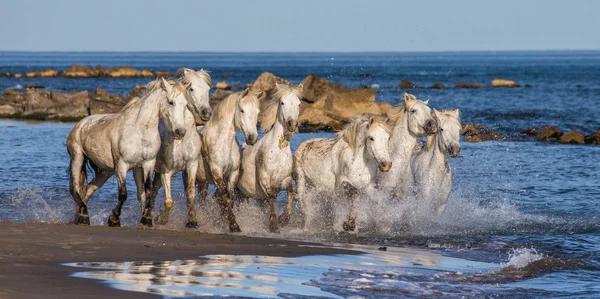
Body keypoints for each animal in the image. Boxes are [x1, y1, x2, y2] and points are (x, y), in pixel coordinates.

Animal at [141, 68, 213, 227]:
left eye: (208, 89)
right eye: (191, 89)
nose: (206, 112)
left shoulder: (191, 165)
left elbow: (191, 193)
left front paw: (192, 220)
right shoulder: (165, 171)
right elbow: (168, 201)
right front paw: (162, 218)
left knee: (153, 191)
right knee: (148, 192)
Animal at [197, 88, 262, 233]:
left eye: (257, 112)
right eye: (242, 110)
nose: (252, 138)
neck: (224, 143)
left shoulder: (233, 173)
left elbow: (230, 196)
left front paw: (226, 222)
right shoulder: (217, 172)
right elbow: (225, 195)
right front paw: (233, 225)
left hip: (203, 181)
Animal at [234, 82, 300, 234]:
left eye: (299, 103)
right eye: (282, 102)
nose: (292, 124)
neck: (278, 151)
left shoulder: (285, 180)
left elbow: (291, 192)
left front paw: (284, 219)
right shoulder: (264, 179)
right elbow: (272, 197)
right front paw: (274, 225)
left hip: (248, 196)